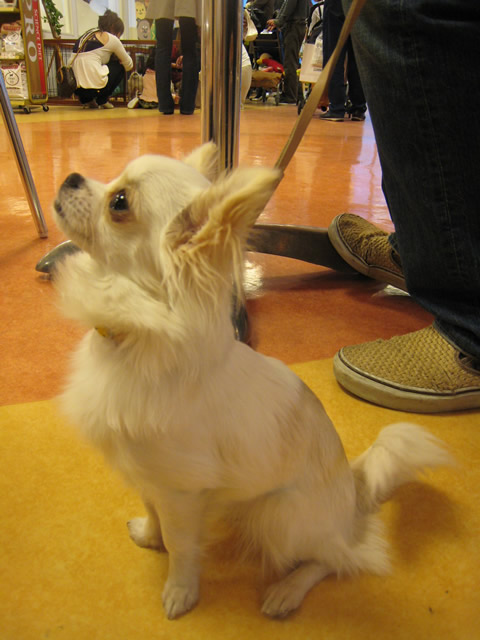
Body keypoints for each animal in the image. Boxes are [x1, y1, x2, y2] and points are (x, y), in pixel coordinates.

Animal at [53, 143, 451, 619]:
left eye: (118, 203)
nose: (71, 176)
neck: (130, 340)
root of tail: (352, 495)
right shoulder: (149, 474)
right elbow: (152, 509)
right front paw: (150, 536)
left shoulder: (181, 491)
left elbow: (182, 546)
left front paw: (180, 590)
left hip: (279, 516)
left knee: (338, 559)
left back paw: (287, 591)